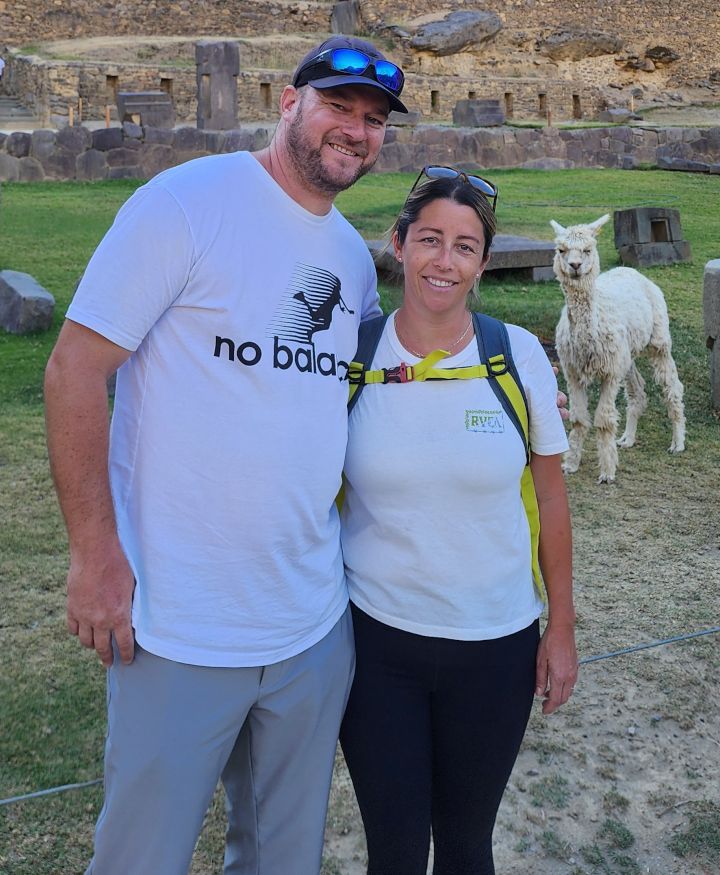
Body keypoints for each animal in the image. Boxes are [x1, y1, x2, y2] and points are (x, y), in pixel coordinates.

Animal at [551, 214, 685, 483]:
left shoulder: (610, 373)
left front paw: (607, 472)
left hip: (659, 341)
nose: (574, 266)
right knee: (638, 392)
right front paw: (570, 464)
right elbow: (578, 419)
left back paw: (677, 442)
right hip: (626, 354)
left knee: (672, 387)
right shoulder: (573, 371)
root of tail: (632, 270)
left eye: (587, 249)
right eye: (561, 250)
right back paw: (627, 439)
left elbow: (603, 420)